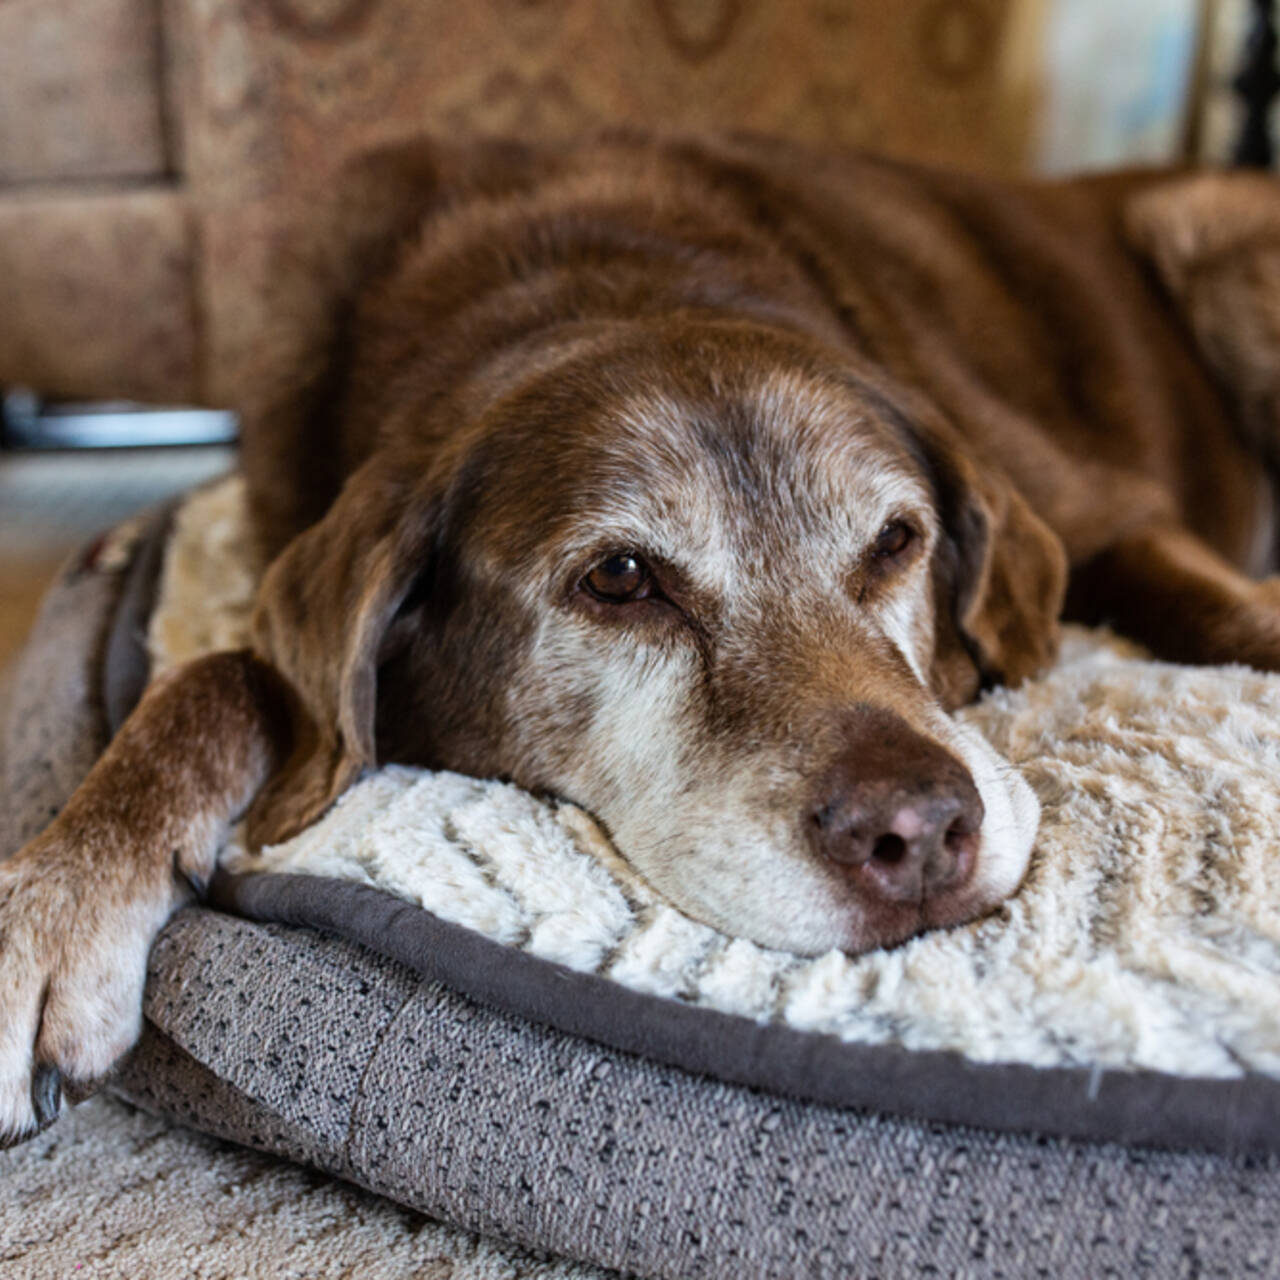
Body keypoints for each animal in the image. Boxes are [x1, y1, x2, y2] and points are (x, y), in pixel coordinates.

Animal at [2, 135, 1280, 1146]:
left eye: (895, 540)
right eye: (619, 578)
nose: (917, 834)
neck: (595, 279)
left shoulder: (1103, 511)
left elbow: (1218, 611)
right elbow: (223, 678)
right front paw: (57, 901)